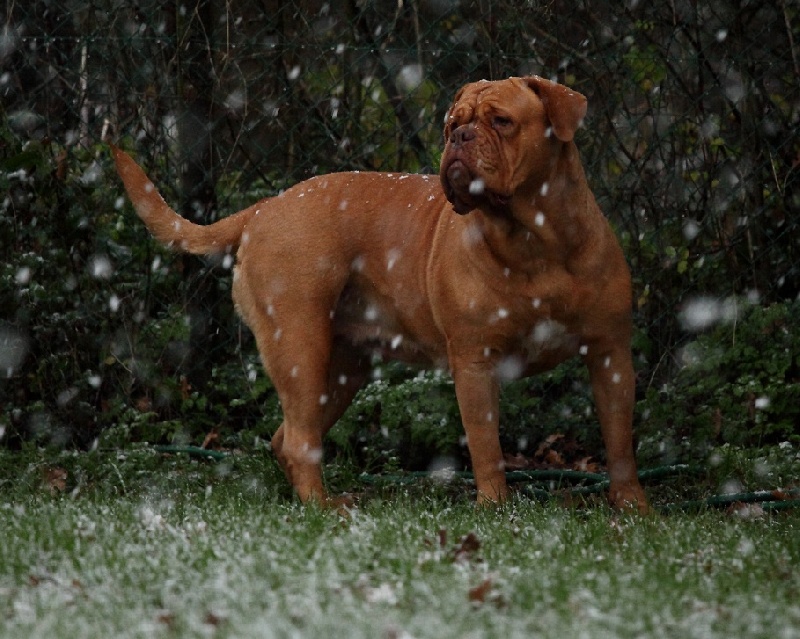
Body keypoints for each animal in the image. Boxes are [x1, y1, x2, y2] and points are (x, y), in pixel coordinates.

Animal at [112, 76, 648, 516]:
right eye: (453, 124)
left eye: (502, 121)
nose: (460, 138)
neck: (535, 240)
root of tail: (264, 208)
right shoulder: (475, 361)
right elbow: (486, 445)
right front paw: (494, 507)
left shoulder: (611, 353)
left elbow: (620, 440)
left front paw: (632, 506)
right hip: (300, 346)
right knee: (300, 437)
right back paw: (322, 508)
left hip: (342, 369)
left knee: (288, 436)